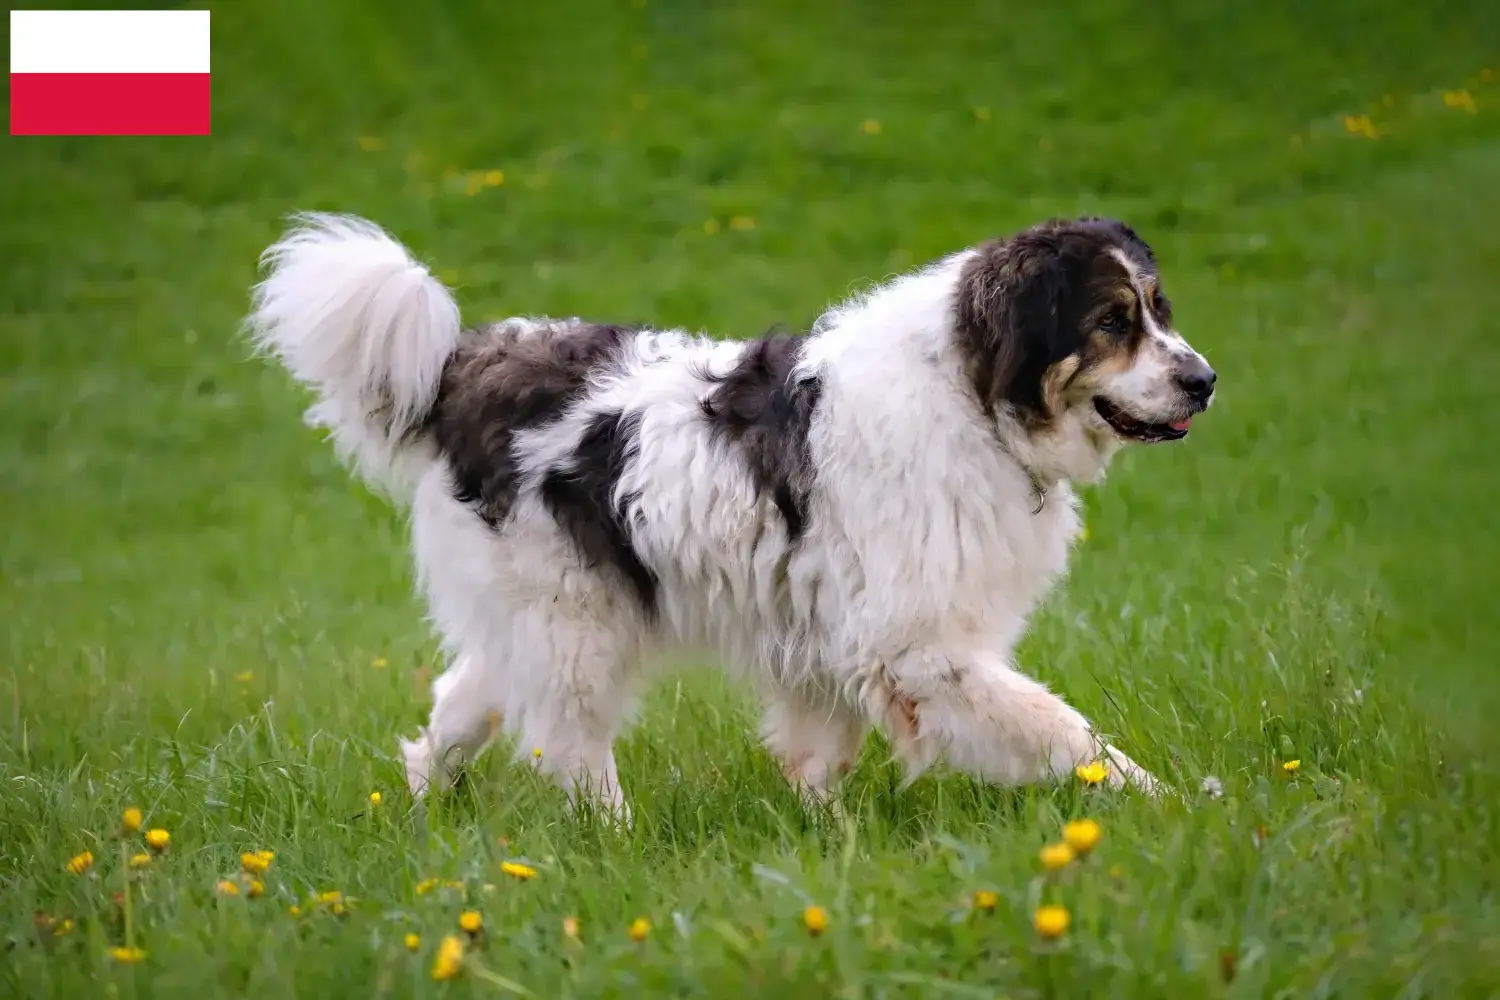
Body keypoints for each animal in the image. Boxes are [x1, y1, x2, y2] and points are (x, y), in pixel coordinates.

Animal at [249, 211, 1218, 815]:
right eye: (1112, 321)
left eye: (1159, 310)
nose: (1204, 380)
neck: (973, 394)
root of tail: (465, 364)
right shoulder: (921, 649)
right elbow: (1065, 731)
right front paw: (1171, 805)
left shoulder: (836, 637)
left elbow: (821, 752)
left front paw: (826, 837)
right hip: (576, 621)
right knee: (568, 745)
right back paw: (614, 840)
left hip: (535, 615)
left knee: (463, 703)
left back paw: (426, 808)